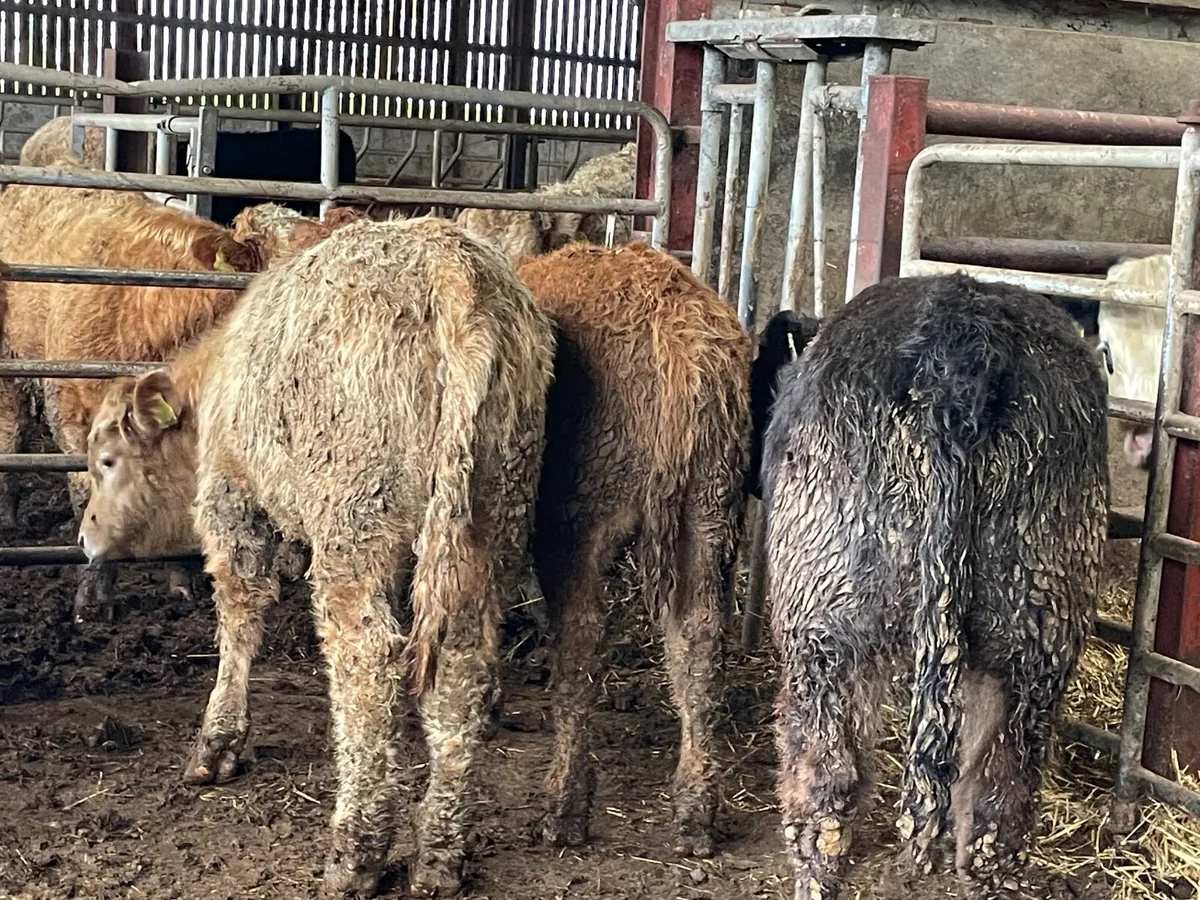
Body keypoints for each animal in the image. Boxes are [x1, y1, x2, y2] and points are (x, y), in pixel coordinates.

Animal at [76, 214, 556, 897]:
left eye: (107, 460)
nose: (85, 536)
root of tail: (453, 270)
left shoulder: (232, 494)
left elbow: (241, 610)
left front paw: (218, 741)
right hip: (488, 517)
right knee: (460, 664)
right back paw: (441, 848)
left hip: (354, 523)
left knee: (367, 663)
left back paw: (357, 849)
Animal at [517, 242, 753, 858]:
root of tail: (678, 334)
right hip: (709, 507)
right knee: (698, 638)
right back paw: (696, 815)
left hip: (579, 517)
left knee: (581, 635)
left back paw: (564, 808)